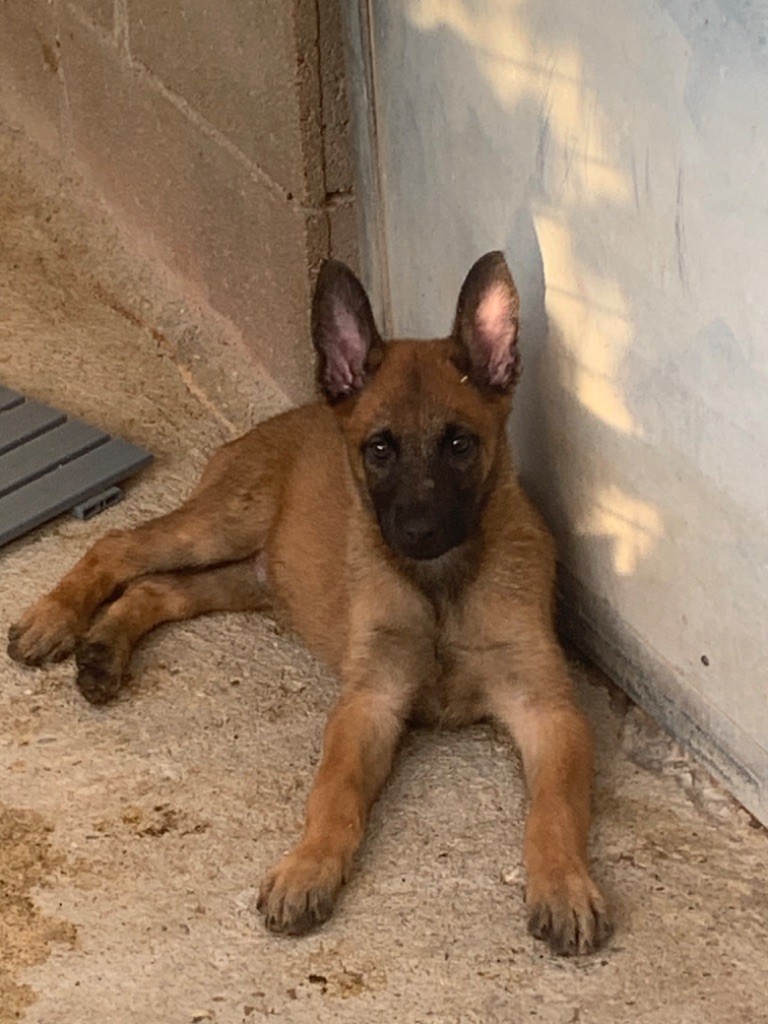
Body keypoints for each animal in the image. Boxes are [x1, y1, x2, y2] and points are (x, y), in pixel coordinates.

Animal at [7, 251, 614, 954]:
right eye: (379, 449)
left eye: (460, 444)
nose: (418, 532)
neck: (438, 587)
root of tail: (283, 420)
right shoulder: (370, 701)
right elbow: (335, 792)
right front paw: (308, 867)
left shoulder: (548, 711)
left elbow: (556, 808)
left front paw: (564, 883)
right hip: (224, 527)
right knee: (119, 547)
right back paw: (52, 619)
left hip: (254, 576)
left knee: (159, 589)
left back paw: (104, 650)